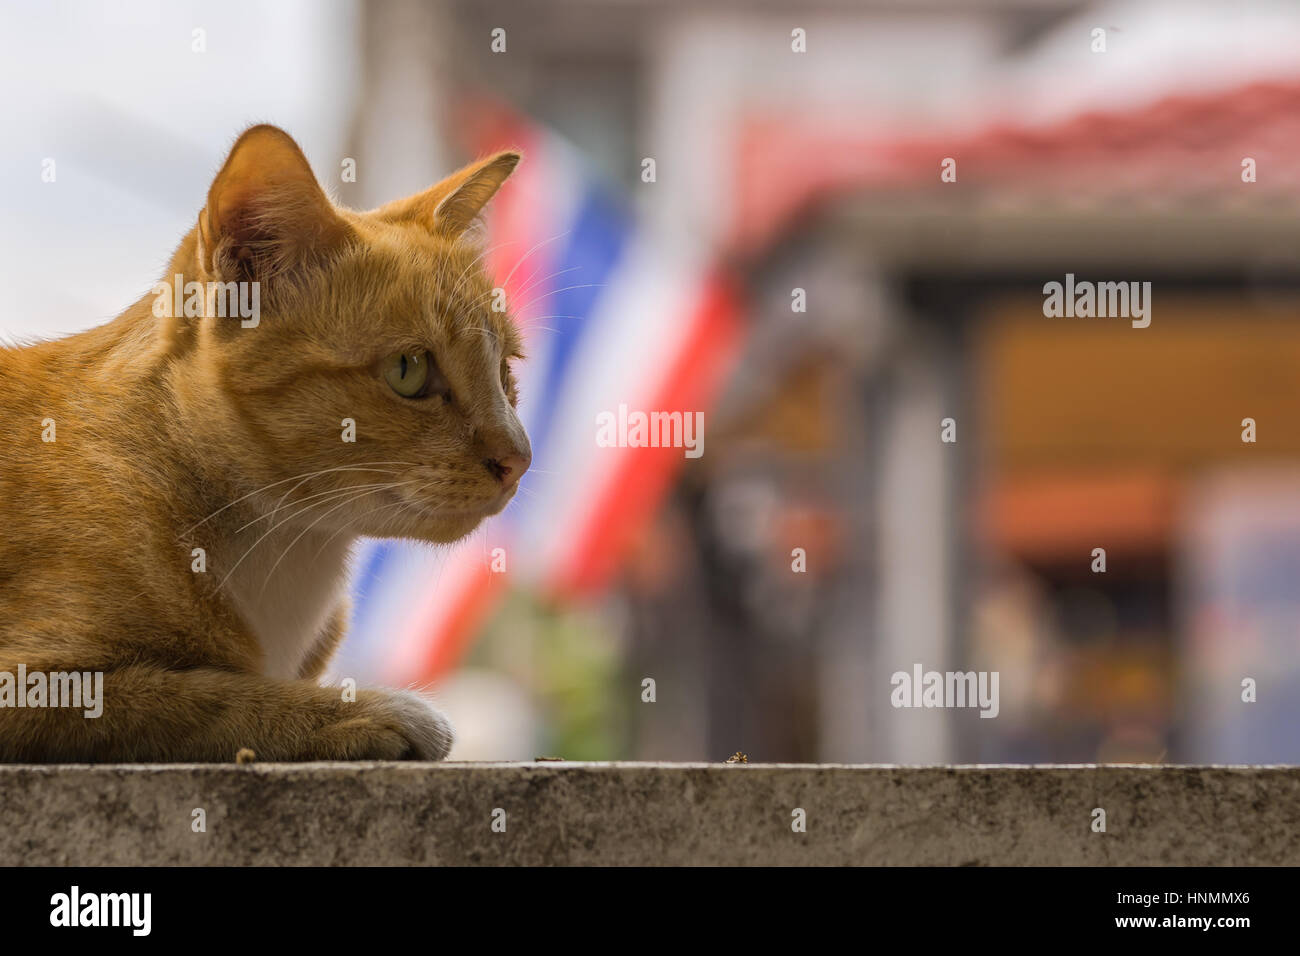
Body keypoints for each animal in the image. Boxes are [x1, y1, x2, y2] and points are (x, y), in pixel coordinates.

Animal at [1, 123, 527, 764]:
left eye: (504, 372)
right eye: (408, 370)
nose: (520, 458)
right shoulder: (34, 685)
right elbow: (207, 695)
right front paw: (370, 709)